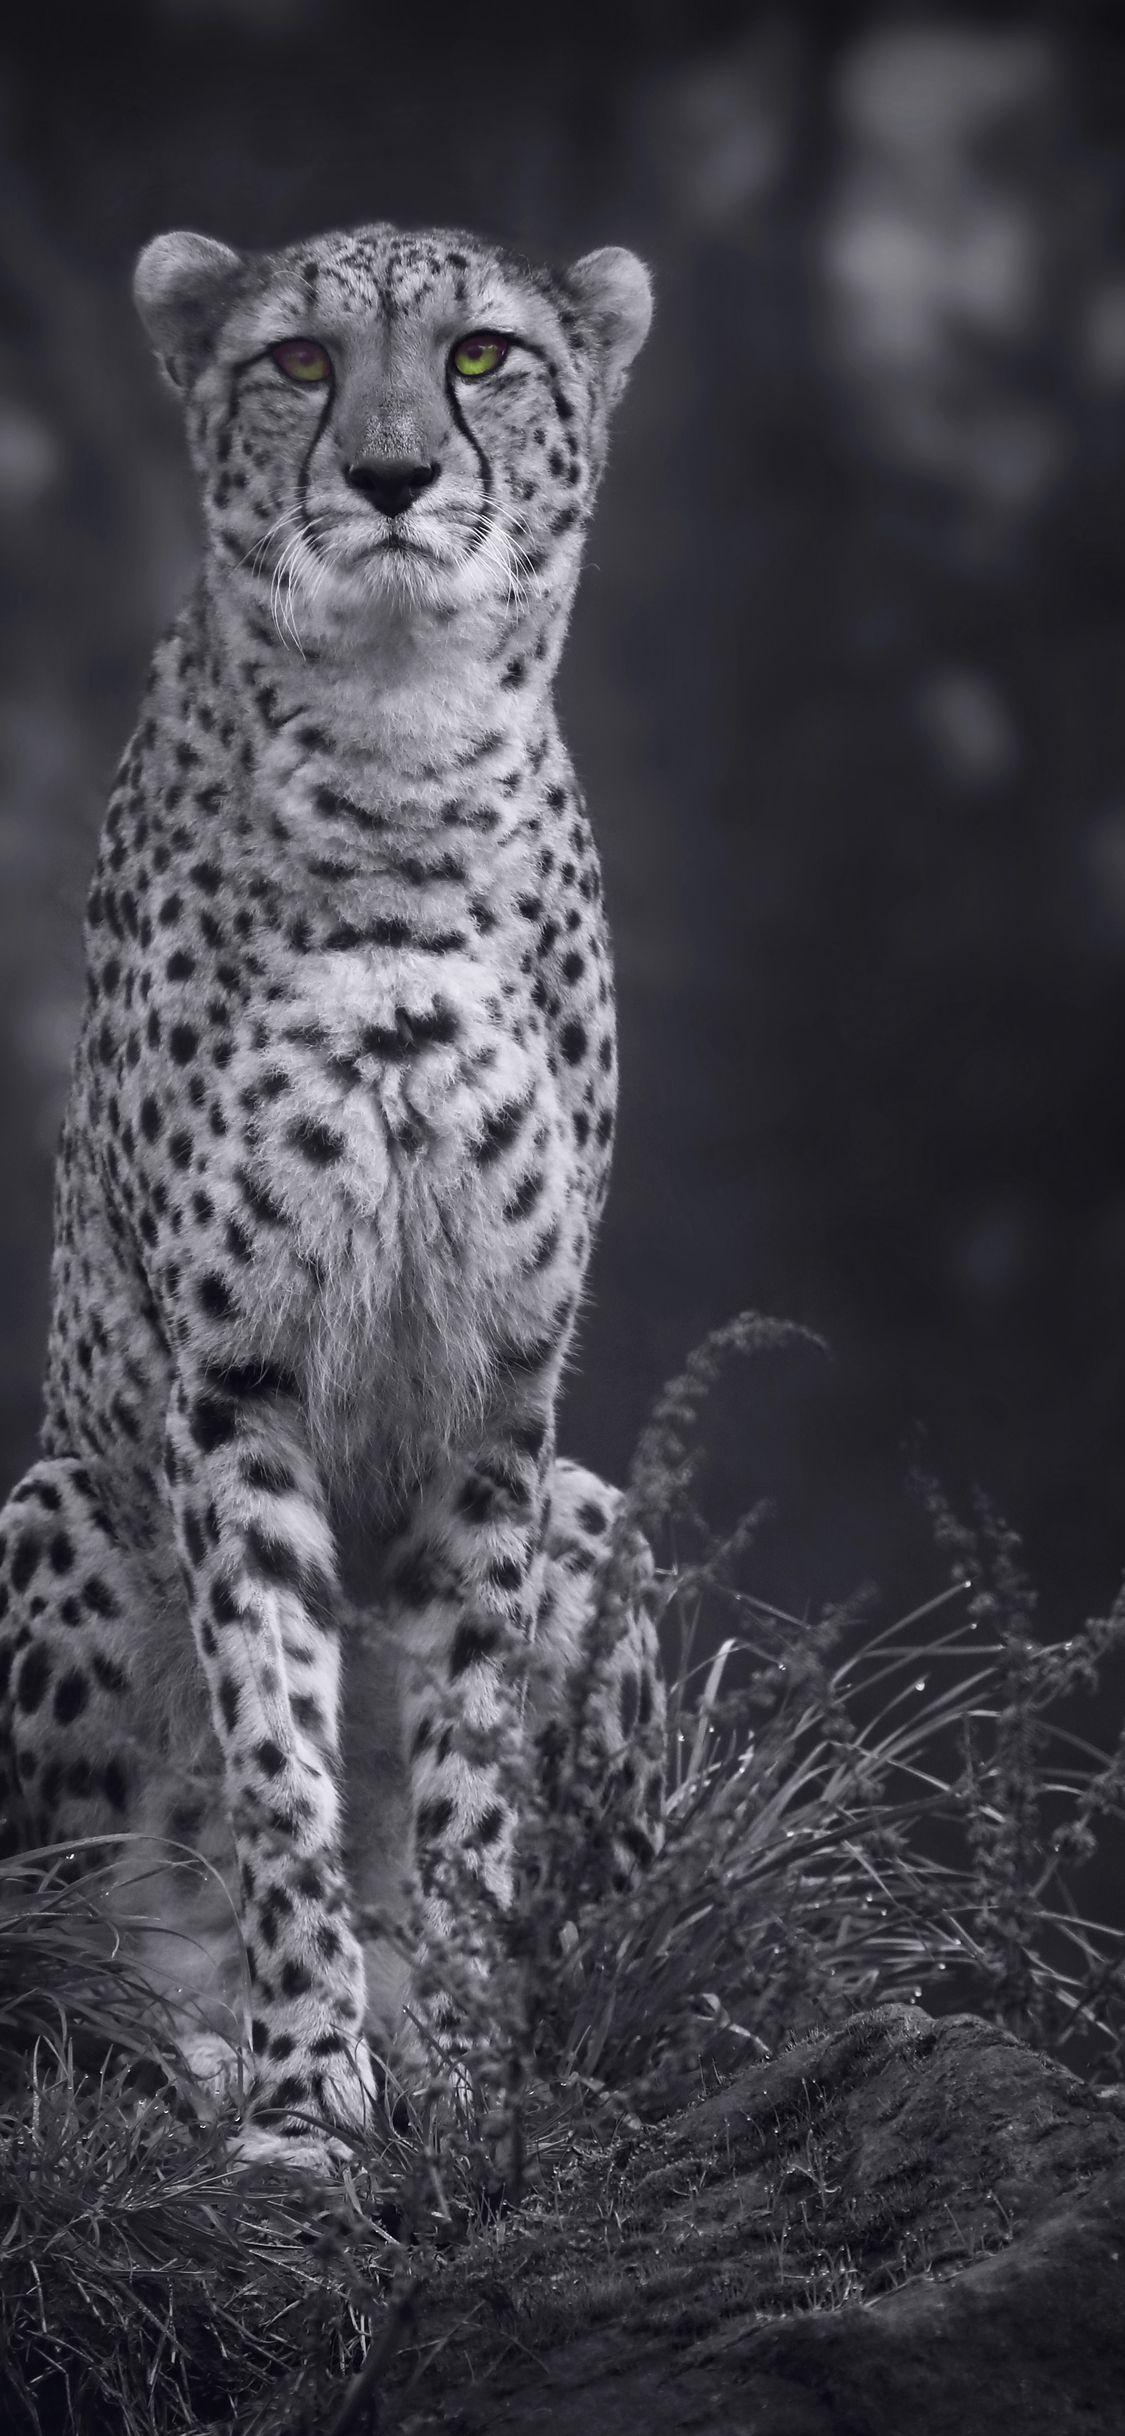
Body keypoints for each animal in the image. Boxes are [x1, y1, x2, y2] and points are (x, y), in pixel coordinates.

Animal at [0, 218, 664, 2166]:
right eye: (298, 361)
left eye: (482, 357)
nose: (388, 474)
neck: (398, 756)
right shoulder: (237, 1383)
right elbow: (282, 1756)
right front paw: (307, 2094)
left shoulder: (502, 1401)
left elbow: (458, 1774)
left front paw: (460, 2066)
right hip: (58, 1506)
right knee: (72, 1946)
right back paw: (198, 2042)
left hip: (605, 1517)